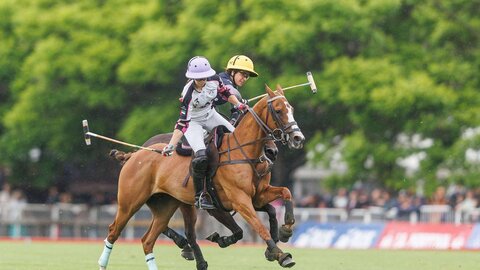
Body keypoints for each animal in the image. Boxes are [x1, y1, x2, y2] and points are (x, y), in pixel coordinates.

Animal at [98, 85, 304, 270]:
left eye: (292, 109)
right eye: (279, 110)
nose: (298, 138)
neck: (244, 153)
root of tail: (134, 155)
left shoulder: (257, 196)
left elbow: (284, 194)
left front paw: (286, 231)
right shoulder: (239, 200)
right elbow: (257, 226)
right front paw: (281, 255)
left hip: (166, 206)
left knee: (148, 240)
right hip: (130, 203)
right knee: (113, 231)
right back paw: (103, 263)